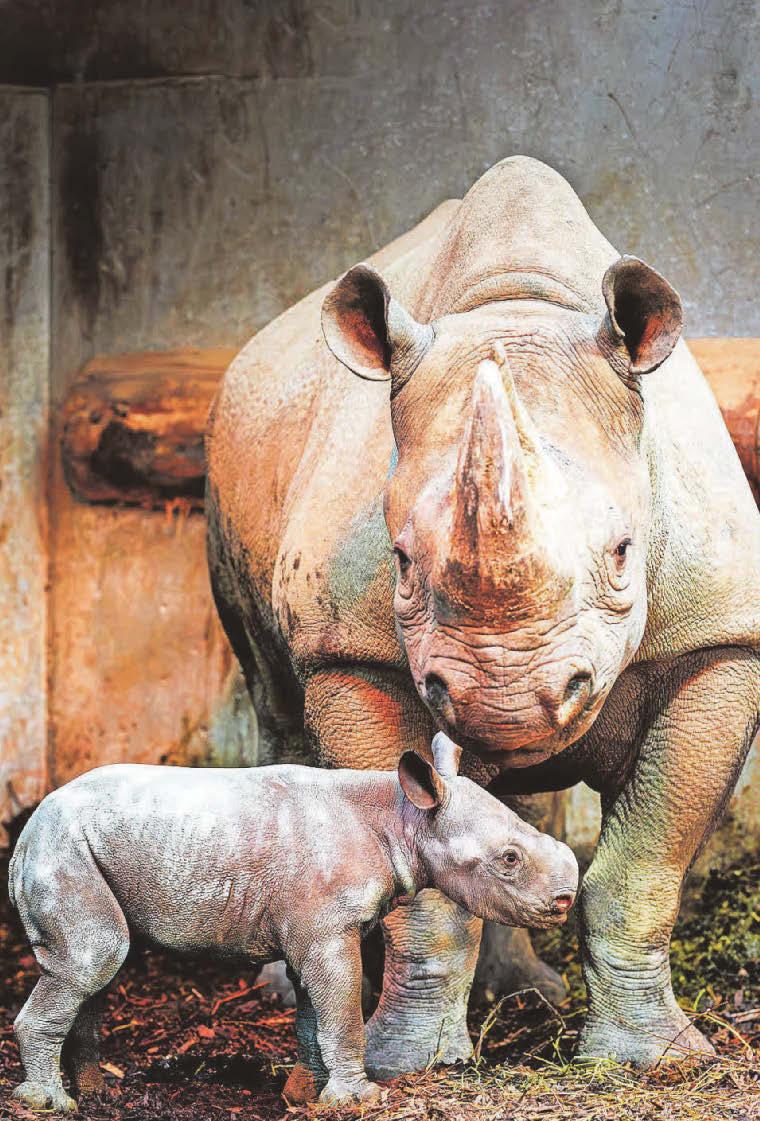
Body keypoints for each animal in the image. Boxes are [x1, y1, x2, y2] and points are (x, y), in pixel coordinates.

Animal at [206, 156, 760, 1073]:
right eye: (398, 560)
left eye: (623, 551)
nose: (502, 699)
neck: (518, 304)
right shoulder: (354, 654)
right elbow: (421, 889)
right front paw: (410, 1064)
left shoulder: (717, 641)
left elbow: (641, 868)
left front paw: (657, 1059)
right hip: (226, 457)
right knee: (274, 696)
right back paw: (288, 991)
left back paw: (525, 993)